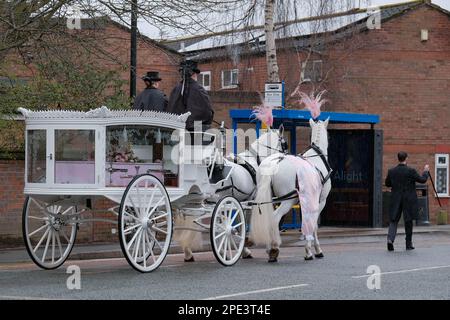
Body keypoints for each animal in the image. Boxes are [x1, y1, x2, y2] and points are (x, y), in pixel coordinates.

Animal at [174, 126, 286, 262]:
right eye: (284, 144)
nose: (286, 156)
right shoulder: (248, 201)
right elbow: (240, 225)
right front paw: (244, 248)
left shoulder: (237, 201)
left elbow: (235, 223)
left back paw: (188, 252)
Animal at [250, 119, 330, 262]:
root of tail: (275, 163)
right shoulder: (320, 202)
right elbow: (314, 224)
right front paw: (315, 250)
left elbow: (307, 222)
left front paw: (309, 248)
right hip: (287, 201)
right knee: (275, 218)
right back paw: (274, 248)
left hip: (271, 200)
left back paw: (269, 248)